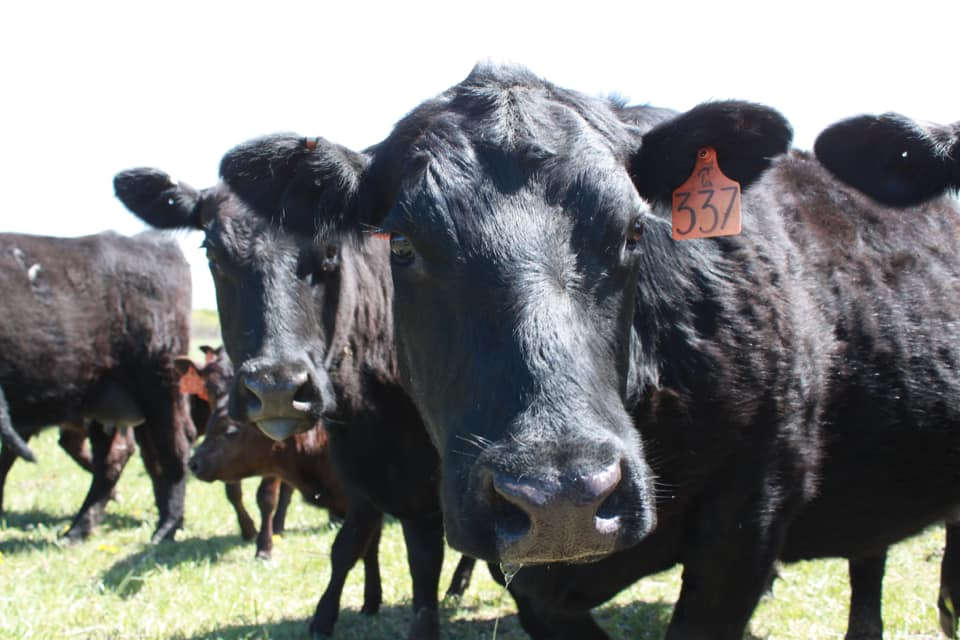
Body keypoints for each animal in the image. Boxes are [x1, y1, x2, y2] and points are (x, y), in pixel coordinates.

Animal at [0, 230, 195, 540]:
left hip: (160, 384)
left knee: (174, 449)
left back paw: (166, 528)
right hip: (105, 400)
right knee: (117, 457)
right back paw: (80, 529)